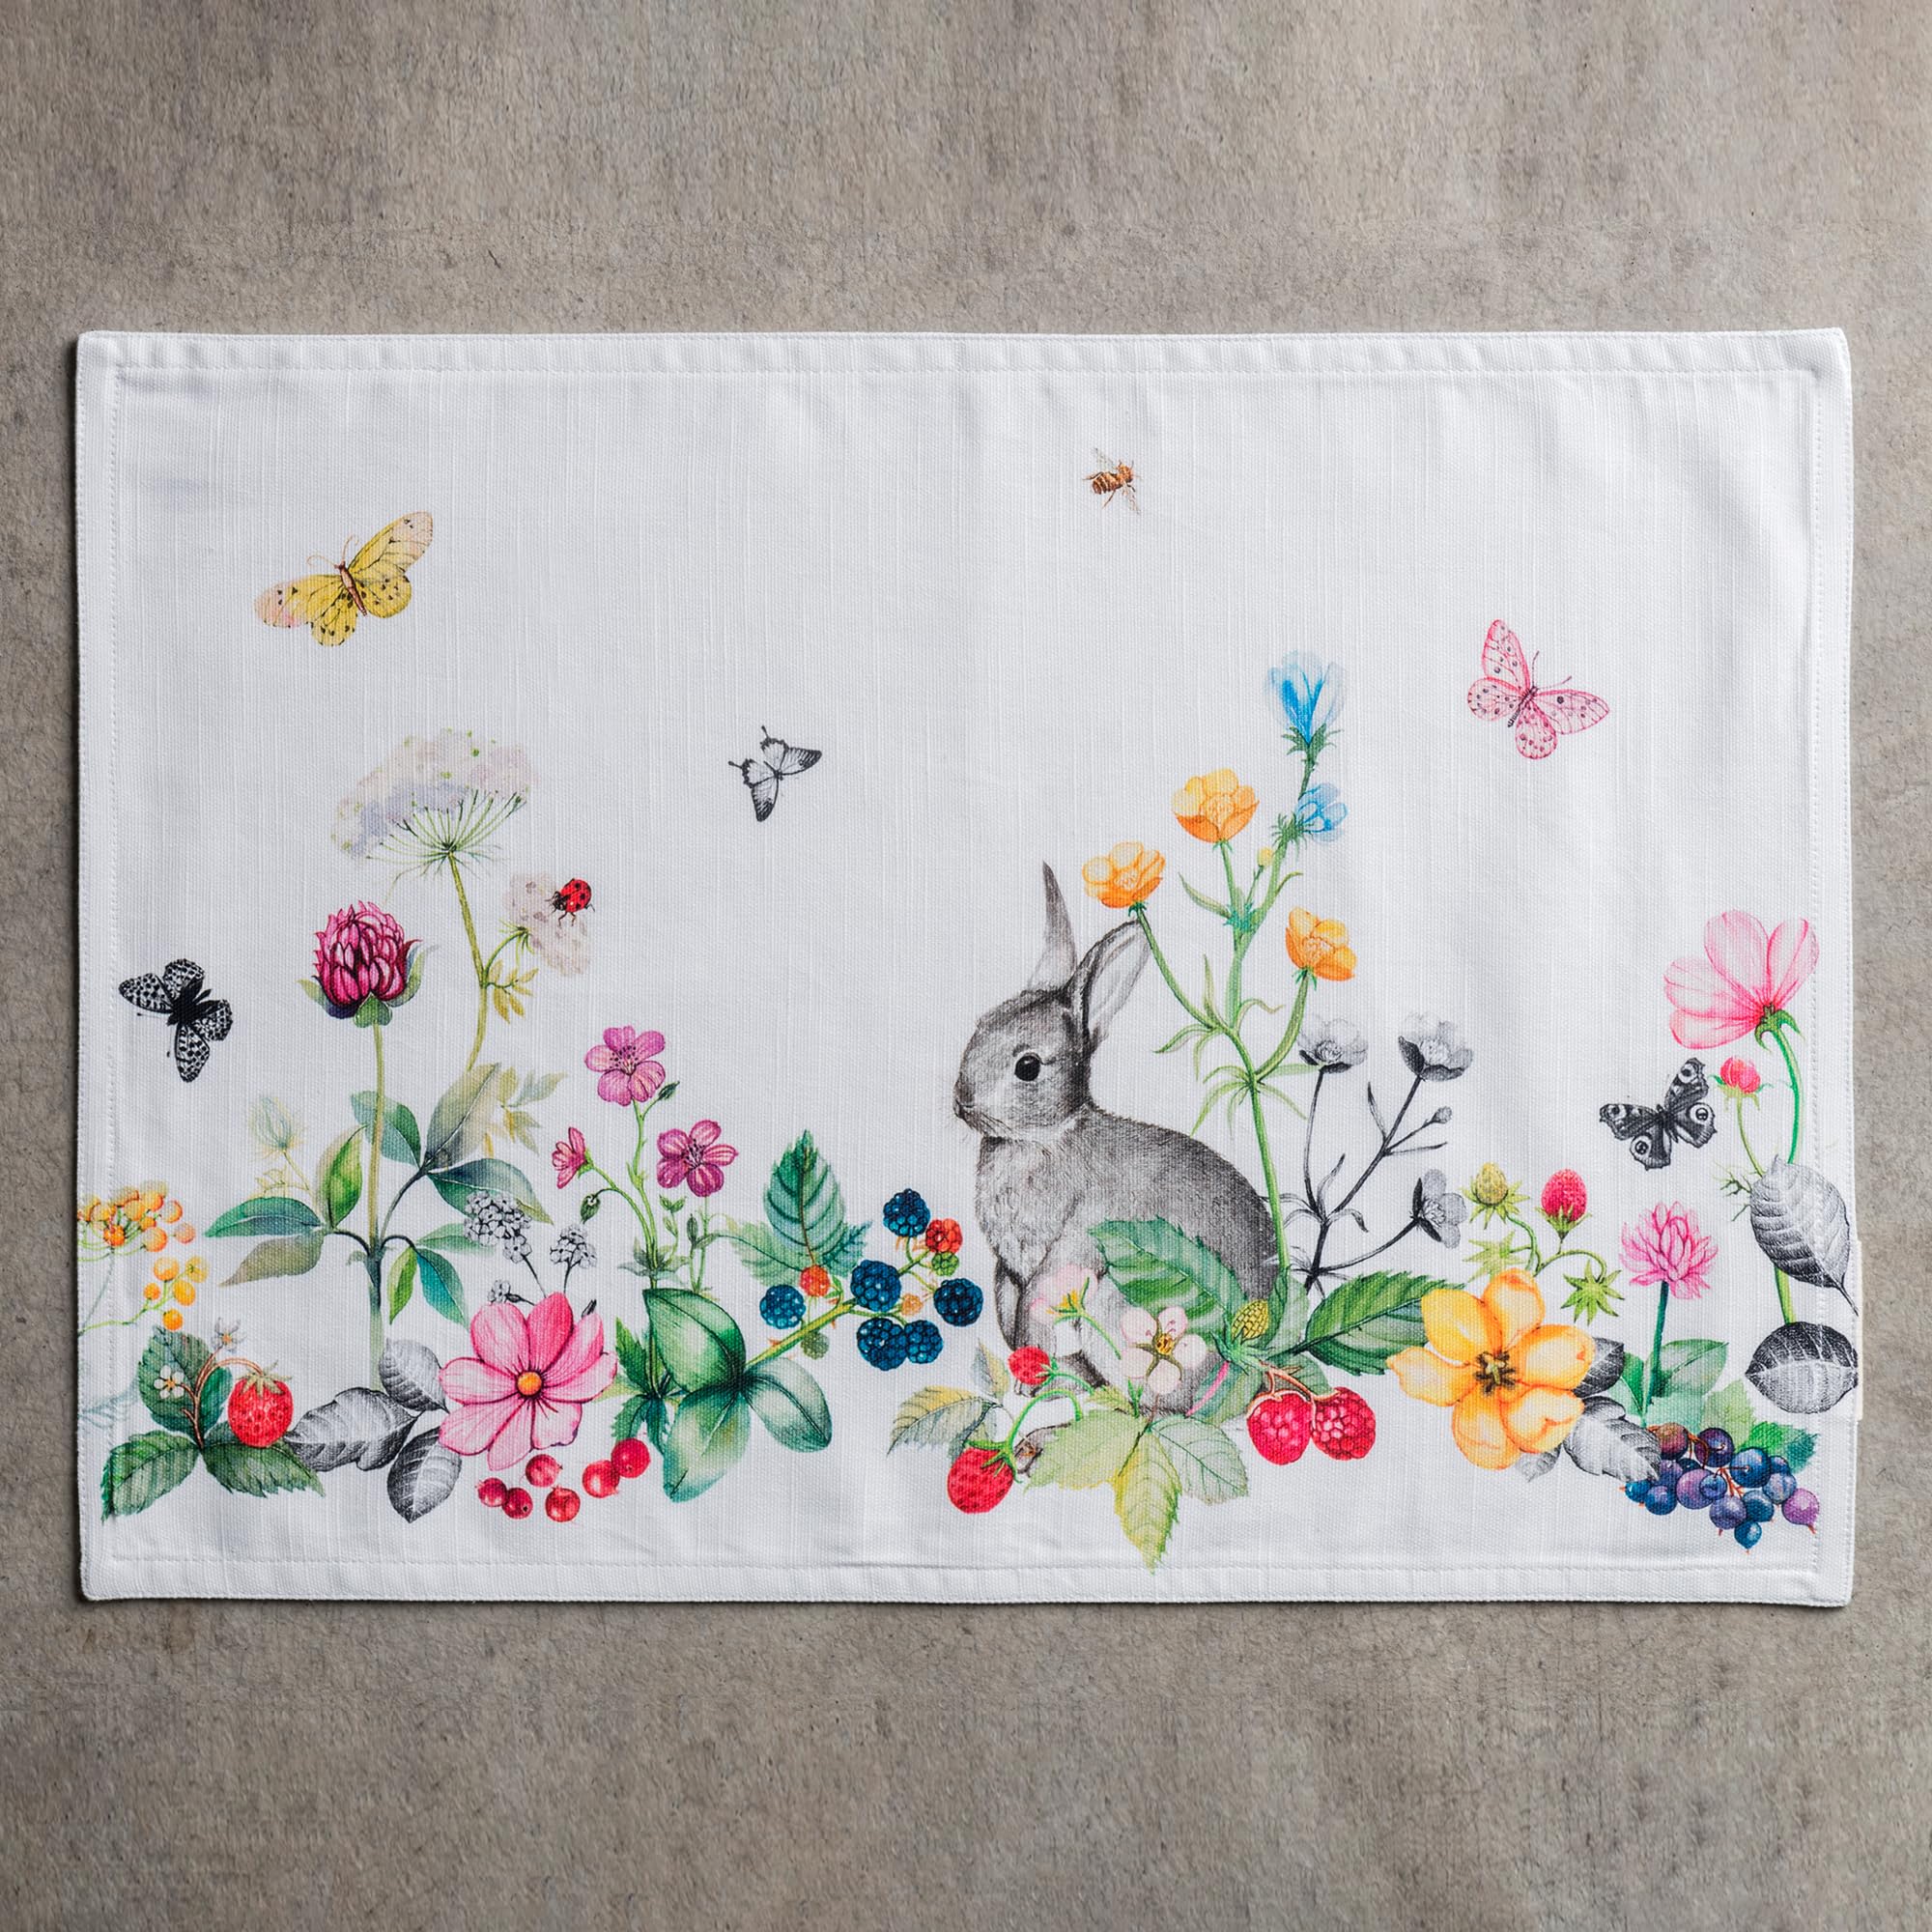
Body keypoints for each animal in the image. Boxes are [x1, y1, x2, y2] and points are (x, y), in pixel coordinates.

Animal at [953, 863, 1276, 1409]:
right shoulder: (1008, 1274)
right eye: (981, 1024)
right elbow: (1015, 1317)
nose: (962, 1102)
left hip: (1119, 1313)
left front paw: (1029, 1385)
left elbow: (1035, 1313)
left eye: (1028, 1066)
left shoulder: (1072, 1247)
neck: (1045, 1138)